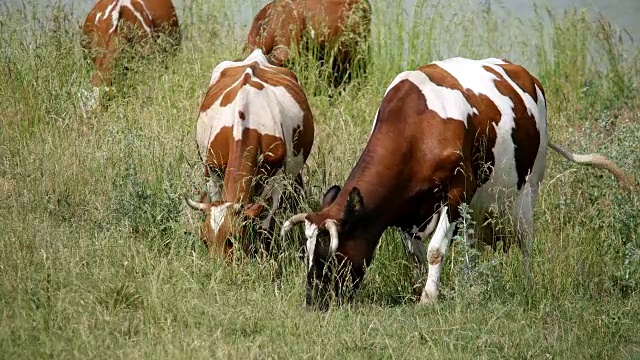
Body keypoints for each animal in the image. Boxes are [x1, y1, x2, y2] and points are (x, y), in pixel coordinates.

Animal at [185, 49, 316, 258]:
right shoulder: (211, 171)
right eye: (204, 240)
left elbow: (265, 223)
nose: (216, 266)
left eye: (233, 240)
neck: (244, 127)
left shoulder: (277, 179)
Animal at [282, 57, 636, 310]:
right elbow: (414, 253)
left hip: (528, 187)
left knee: (525, 239)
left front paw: (428, 299)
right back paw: (470, 283)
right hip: (479, 204)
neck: (416, 128)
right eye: (305, 255)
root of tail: (525, 74)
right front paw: (419, 289)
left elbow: (435, 251)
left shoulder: (456, 193)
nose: (313, 303)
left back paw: (525, 284)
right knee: (472, 245)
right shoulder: (408, 208)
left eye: (330, 255)